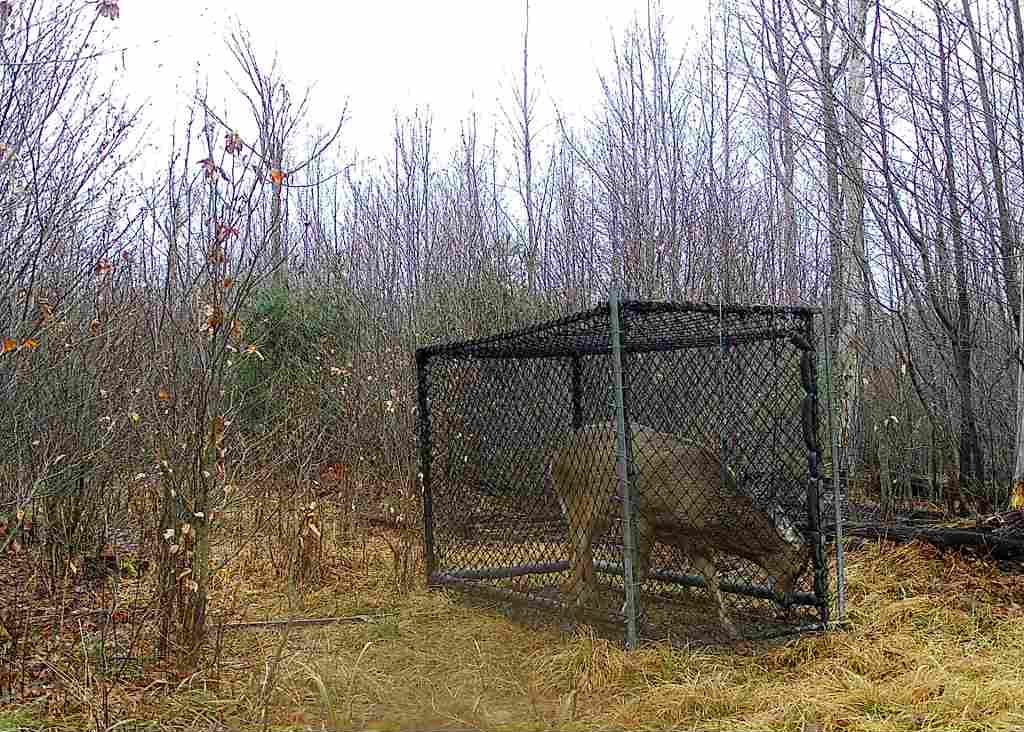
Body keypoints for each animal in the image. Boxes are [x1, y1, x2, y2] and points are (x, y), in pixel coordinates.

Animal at [544, 421, 815, 638]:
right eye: (798, 568)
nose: (786, 602)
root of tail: (555, 455)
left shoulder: (693, 541)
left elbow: (712, 577)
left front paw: (731, 628)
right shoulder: (643, 516)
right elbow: (641, 569)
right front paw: (629, 613)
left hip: (597, 513)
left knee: (582, 549)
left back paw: (587, 598)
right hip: (579, 500)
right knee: (577, 549)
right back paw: (572, 601)